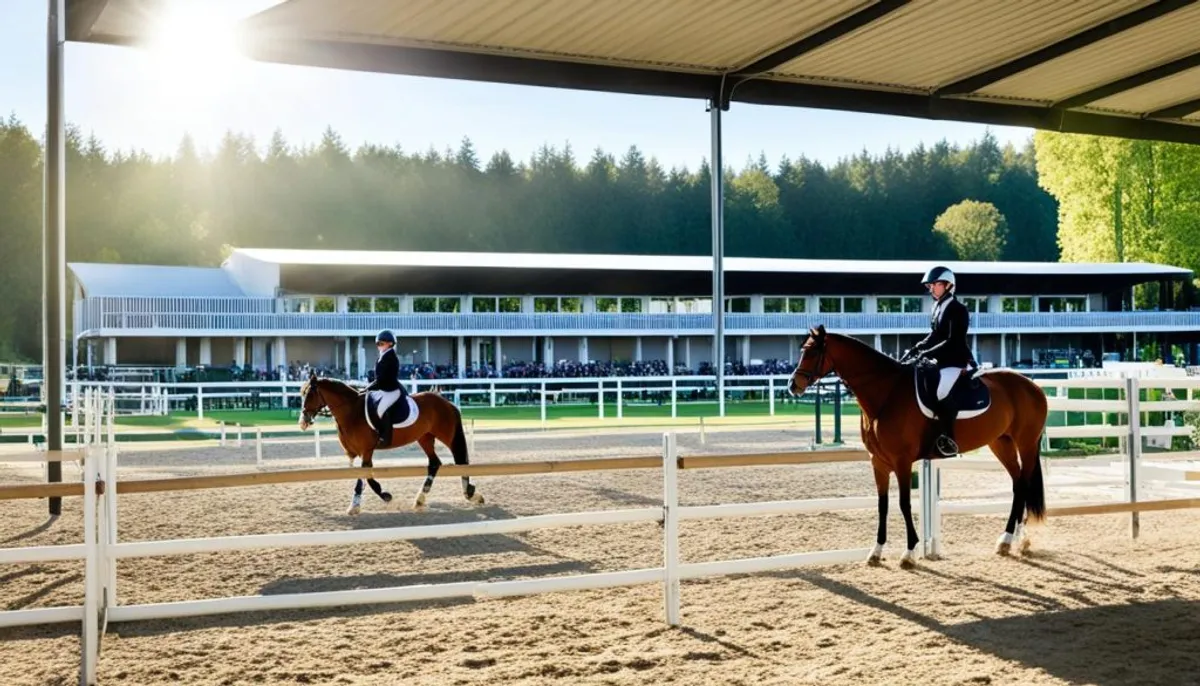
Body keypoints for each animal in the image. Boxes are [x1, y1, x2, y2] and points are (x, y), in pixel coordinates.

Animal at [297, 374, 484, 513]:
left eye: (310, 394)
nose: (303, 421)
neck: (351, 411)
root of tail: (445, 401)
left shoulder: (366, 450)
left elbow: (365, 477)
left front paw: (359, 504)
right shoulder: (353, 453)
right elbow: (365, 476)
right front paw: (382, 496)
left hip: (447, 436)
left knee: (460, 460)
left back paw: (470, 494)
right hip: (424, 438)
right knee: (434, 463)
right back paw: (420, 499)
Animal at [792, 326, 1046, 568]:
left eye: (812, 352)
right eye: (802, 350)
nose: (793, 385)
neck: (887, 393)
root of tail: (1032, 385)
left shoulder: (902, 462)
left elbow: (904, 504)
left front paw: (909, 553)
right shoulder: (879, 462)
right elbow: (883, 505)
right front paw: (876, 551)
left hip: (1026, 444)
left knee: (1023, 483)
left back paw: (1016, 538)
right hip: (1001, 443)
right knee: (1018, 485)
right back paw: (1009, 539)